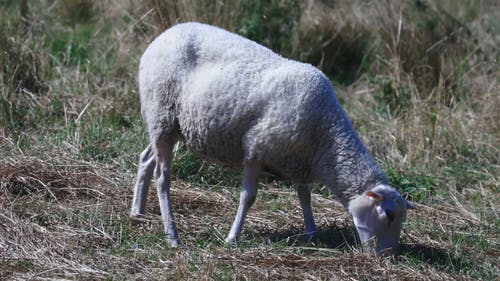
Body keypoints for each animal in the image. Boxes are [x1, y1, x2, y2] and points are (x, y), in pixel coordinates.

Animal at [130, 21, 414, 254]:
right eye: (389, 215)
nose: (386, 257)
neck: (326, 137)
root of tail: (162, 36)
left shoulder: (299, 162)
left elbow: (305, 196)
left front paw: (312, 233)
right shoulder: (255, 151)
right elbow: (248, 197)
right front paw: (232, 238)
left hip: (169, 125)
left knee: (146, 158)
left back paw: (137, 212)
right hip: (162, 114)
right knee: (162, 177)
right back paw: (172, 235)